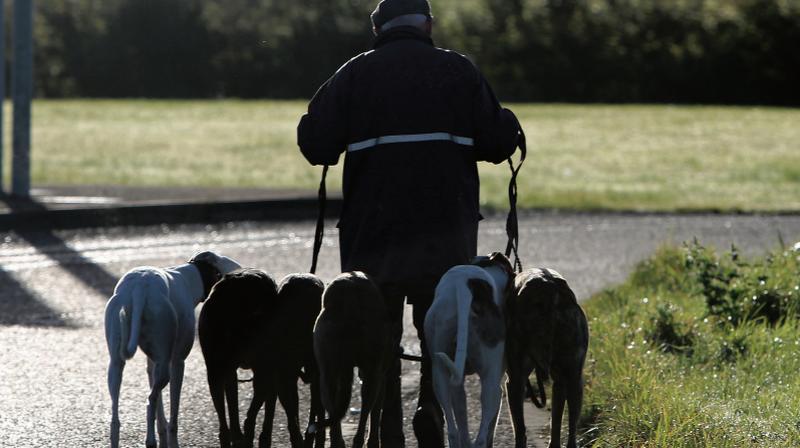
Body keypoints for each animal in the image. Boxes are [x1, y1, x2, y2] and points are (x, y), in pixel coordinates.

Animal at [104, 250, 241, 446]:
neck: (193, 276)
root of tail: (139, 289)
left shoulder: (154, 363)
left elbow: (160, 406)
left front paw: (162, 432)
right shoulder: (177, 362)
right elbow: (173, 412)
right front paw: (171, 439)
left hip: (116, 364)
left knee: (117, 415)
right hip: (165, 369)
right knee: (150, 400)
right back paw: (150, 440)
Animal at [424, 252, 512, 448]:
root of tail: (464, 286)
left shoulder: (458, 385)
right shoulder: (498, 388)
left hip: (440, 370)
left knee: (453, 431)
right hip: (490, 378)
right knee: (481, 437)